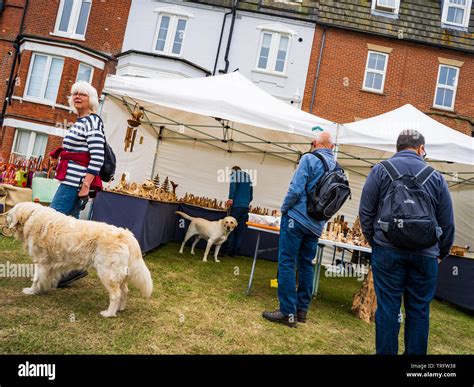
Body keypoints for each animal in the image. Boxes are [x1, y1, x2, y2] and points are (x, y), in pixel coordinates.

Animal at [5, 203, 154, 318]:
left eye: (9, 214)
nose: (4, 215)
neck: (32, 216)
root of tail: (126, 234)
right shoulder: (50, 264)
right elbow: (47, 278)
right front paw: (46, 288)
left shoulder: (41, 261)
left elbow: (37, 279)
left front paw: (31, 291)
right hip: (119, 274)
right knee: (125, 291)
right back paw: (120, 308)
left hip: (107, 273)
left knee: (116, 295)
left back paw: (109, 313)